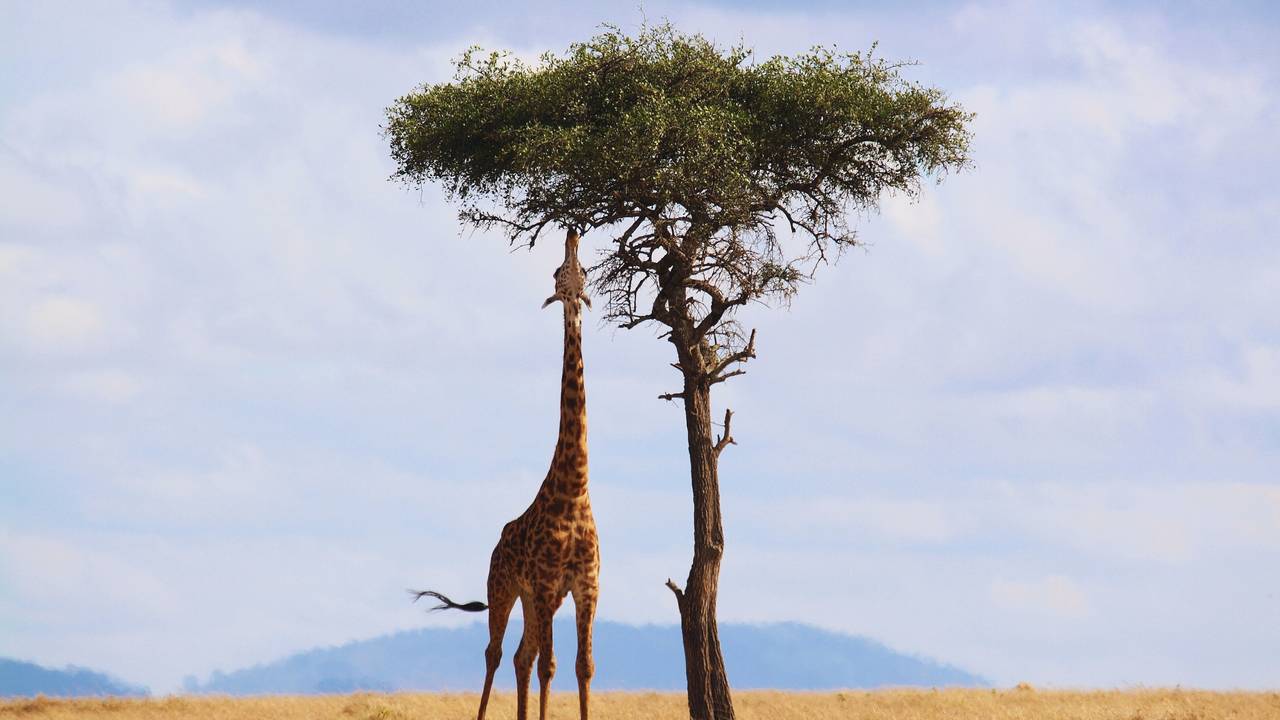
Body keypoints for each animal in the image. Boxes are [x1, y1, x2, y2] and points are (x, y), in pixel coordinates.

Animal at [413, 228, 600, 720]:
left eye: (582, 270)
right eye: (558, 271)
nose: (573, 232)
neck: (575, 490)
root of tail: (497, 543)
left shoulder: (585, 588)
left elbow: (583, 667)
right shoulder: (549, 585)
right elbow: (552, 666)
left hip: (532, 600)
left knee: (521, 655)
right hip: (504, 587)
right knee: (497, 653)